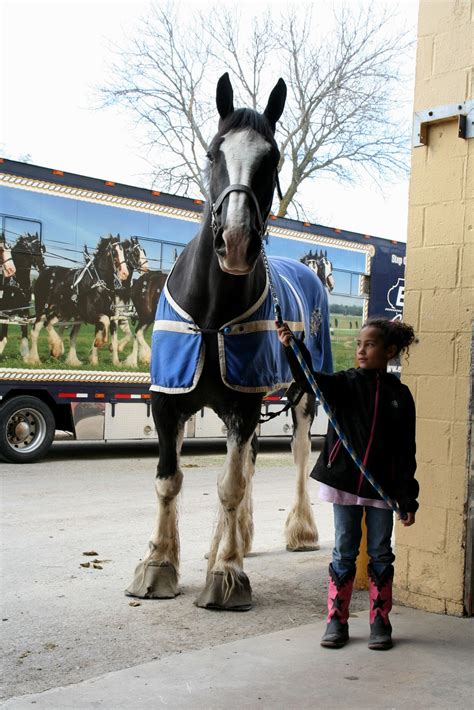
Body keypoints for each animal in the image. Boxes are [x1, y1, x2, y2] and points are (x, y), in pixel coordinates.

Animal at [0, 234, 45, 362]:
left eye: (42, 249)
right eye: (35, 250)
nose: (43, 267)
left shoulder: (24, 311)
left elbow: (24, 336)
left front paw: (27, 358)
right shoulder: (6, 312)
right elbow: (3, 338)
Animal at [27, 236, 128, 368]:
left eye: (124, 252)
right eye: (114, 252)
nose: (125, 273)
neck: (98, 284)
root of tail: (44, 270)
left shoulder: (109, 315)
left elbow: (107, 331)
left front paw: (102, 358)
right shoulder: (89, 314)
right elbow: (104, 321)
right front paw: (100, 342)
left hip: (60, 311)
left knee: (50, 324)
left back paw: (58, 352)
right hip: (42, 309)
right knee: (37, 329)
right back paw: (36, 358)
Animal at [127, 75, 334, 616]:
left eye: (273, 156)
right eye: (214, 151)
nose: (237, 241)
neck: (211, 312)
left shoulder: (242, 402)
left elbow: (230, 485)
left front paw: (225, 574)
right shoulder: (170, 400)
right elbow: (170, 479)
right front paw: (159, 564)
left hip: (300, 396)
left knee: (297, 455)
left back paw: (297, 531)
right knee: (248, 462)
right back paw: (237, 538)